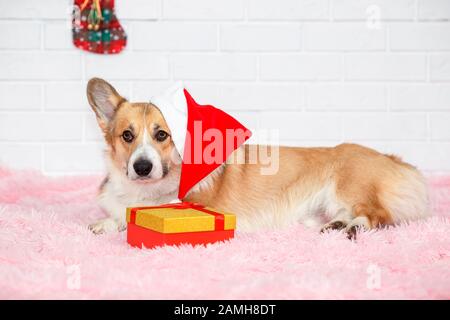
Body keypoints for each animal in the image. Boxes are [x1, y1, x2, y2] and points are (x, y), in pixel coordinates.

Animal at [85, 77, 428, 238]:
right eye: (127, 136)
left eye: (161, 135)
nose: (142, 167)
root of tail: (396, 161)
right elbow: (119, 216)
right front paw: (103, 224)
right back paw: (337, 225)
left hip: (350, 186)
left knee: (380, 216)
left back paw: (354, 227)